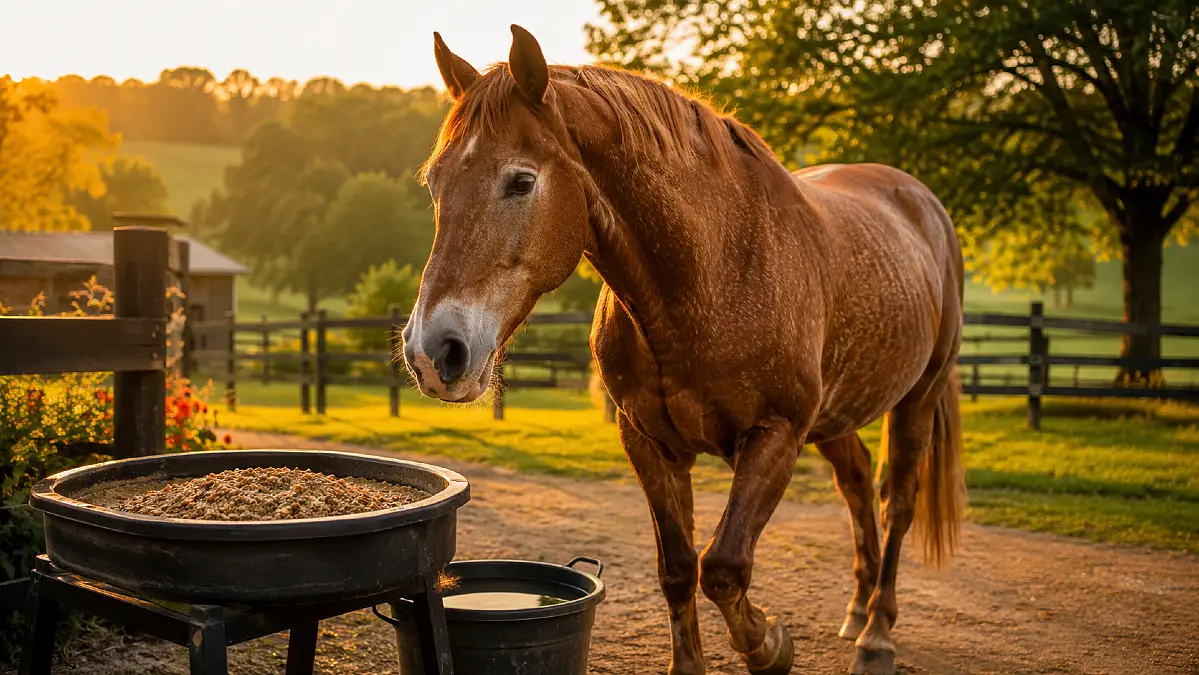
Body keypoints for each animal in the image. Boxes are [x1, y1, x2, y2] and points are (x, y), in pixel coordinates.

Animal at [402, 25, 966, 675]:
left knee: (897, 501)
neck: (714, 272)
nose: (432, 352)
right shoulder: (649, 442)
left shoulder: (776, 435)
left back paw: (876, 632)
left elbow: (722, 566)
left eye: (520, 181)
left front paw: (771, 645)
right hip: (835, 416)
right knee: (854, 484)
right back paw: (855, 610)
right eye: (435, 182)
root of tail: (922, 202)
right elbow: (677, 568)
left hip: (916, 399)